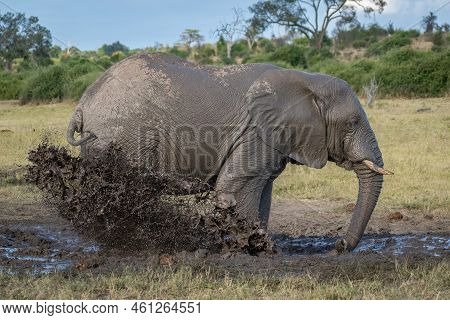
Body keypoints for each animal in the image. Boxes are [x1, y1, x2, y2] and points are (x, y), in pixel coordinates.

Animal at [65, 52, 392, 252]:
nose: (339, 247)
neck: (307, 80)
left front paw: (259, 247)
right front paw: (258, 251)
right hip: (121, 136)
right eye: (352, 124)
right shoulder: (256, 132)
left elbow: (262, 193)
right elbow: (235, 188)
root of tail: (83, 104)